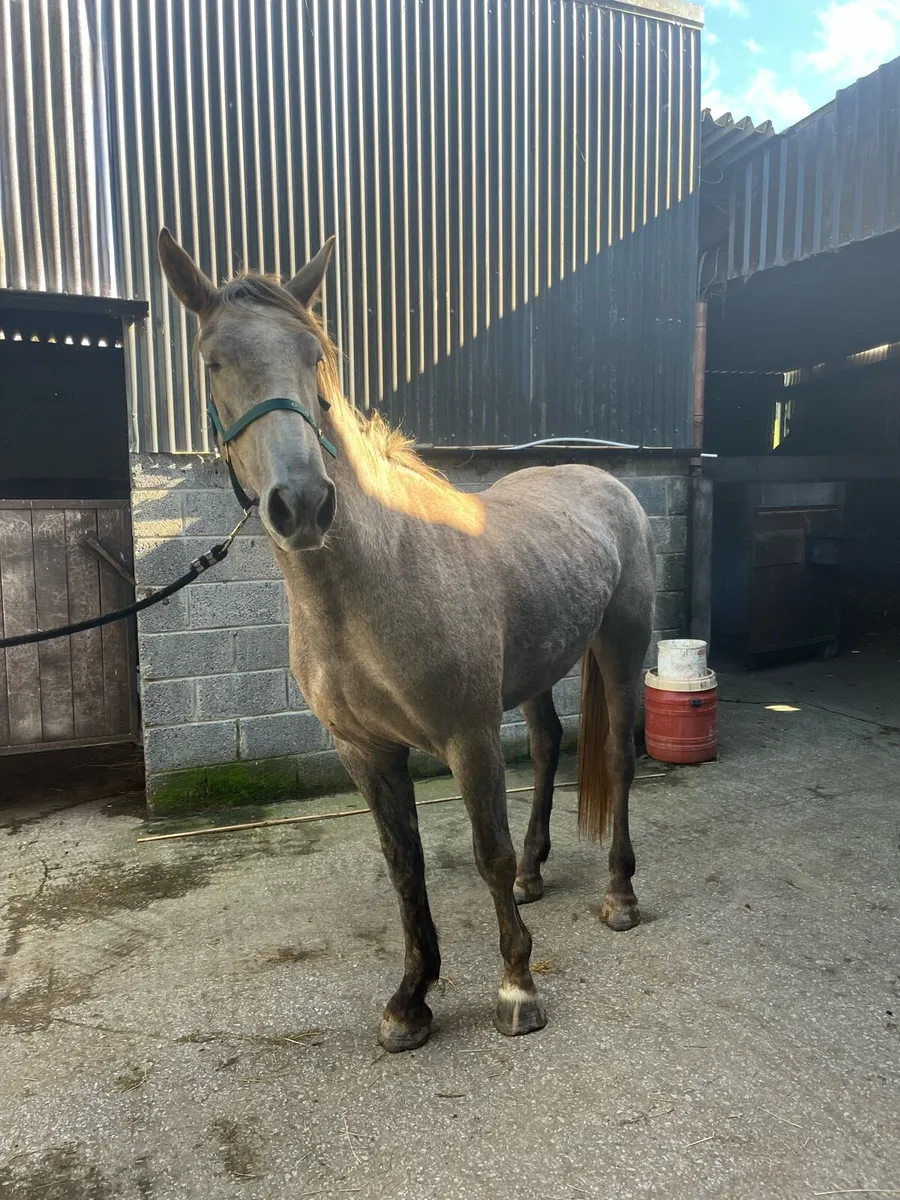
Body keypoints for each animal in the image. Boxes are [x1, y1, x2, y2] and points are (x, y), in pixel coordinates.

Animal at [158, 228, 656, 1052]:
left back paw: (620, 895)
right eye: (212, 362)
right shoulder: (364, 750)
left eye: (313, 355)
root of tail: (603, 480)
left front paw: (516, 988)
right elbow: (405, 866)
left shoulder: (468, 737)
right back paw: (538, 873)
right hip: (536, 670)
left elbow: (485, 855)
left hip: (622, 642)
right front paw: (410, 1001)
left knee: (615, 758)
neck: (378, 579)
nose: (303, 504)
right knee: (548, 745)